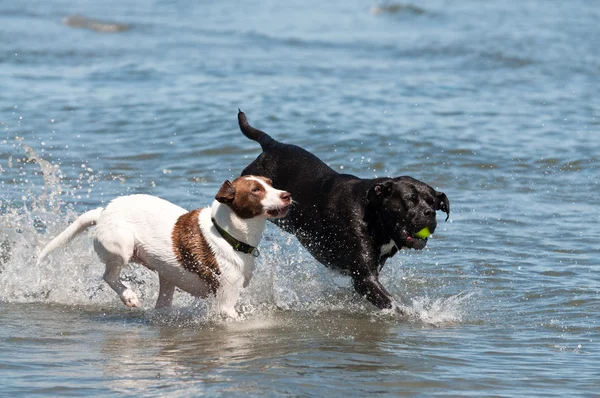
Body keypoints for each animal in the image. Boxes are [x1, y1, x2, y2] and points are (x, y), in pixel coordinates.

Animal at [36, 176, 292, 318]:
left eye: (271, 183)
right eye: (255, 190)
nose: (287, 194)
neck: (227, 234)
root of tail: (103, 212)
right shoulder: (225, 303)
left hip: (167, 277)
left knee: (161, 302)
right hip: (123, 245)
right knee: (109, 276)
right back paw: (129, 297)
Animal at [239, 110, 450, 312]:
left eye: (433, 204)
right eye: (410, 200)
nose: (429, 213)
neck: (374, 216)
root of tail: (272, 145)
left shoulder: (369, 273)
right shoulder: (364, 278)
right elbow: (393, 304)